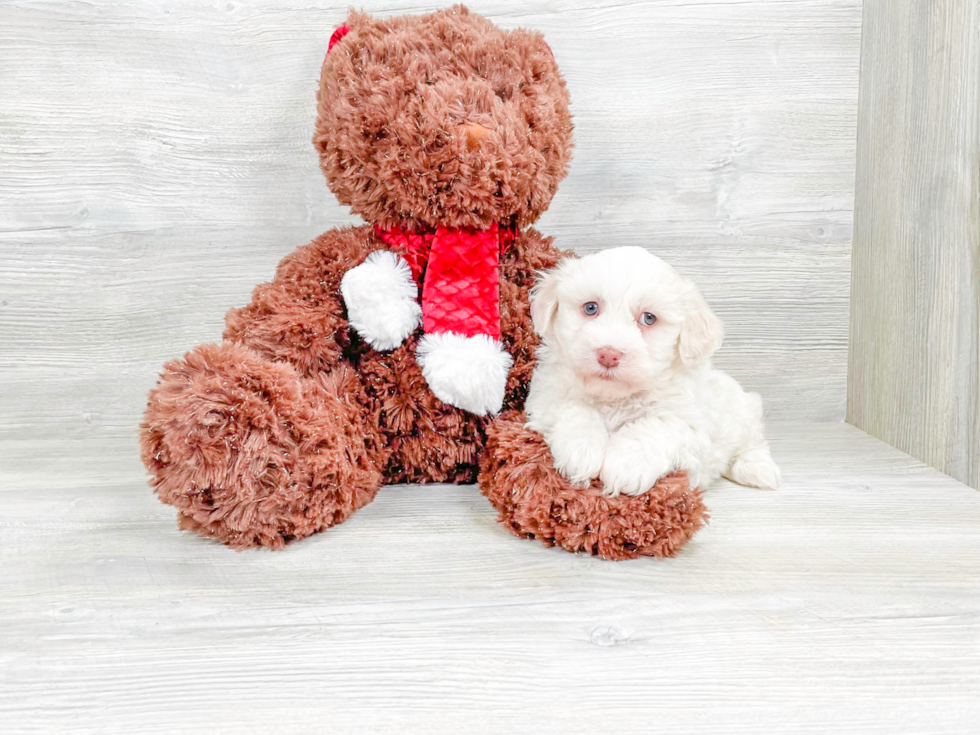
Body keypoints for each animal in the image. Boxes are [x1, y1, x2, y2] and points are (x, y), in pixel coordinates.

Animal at [528, 246, 780, 494]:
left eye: (649, 318)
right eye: (590, 308)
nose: (608, 354)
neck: (614, 397)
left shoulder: (688, 422)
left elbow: (653, 427)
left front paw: (626, 466)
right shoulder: (546, 396)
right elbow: (575, 410)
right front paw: (581, 450)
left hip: (742, 409)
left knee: (752, 442)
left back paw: (757, 469)